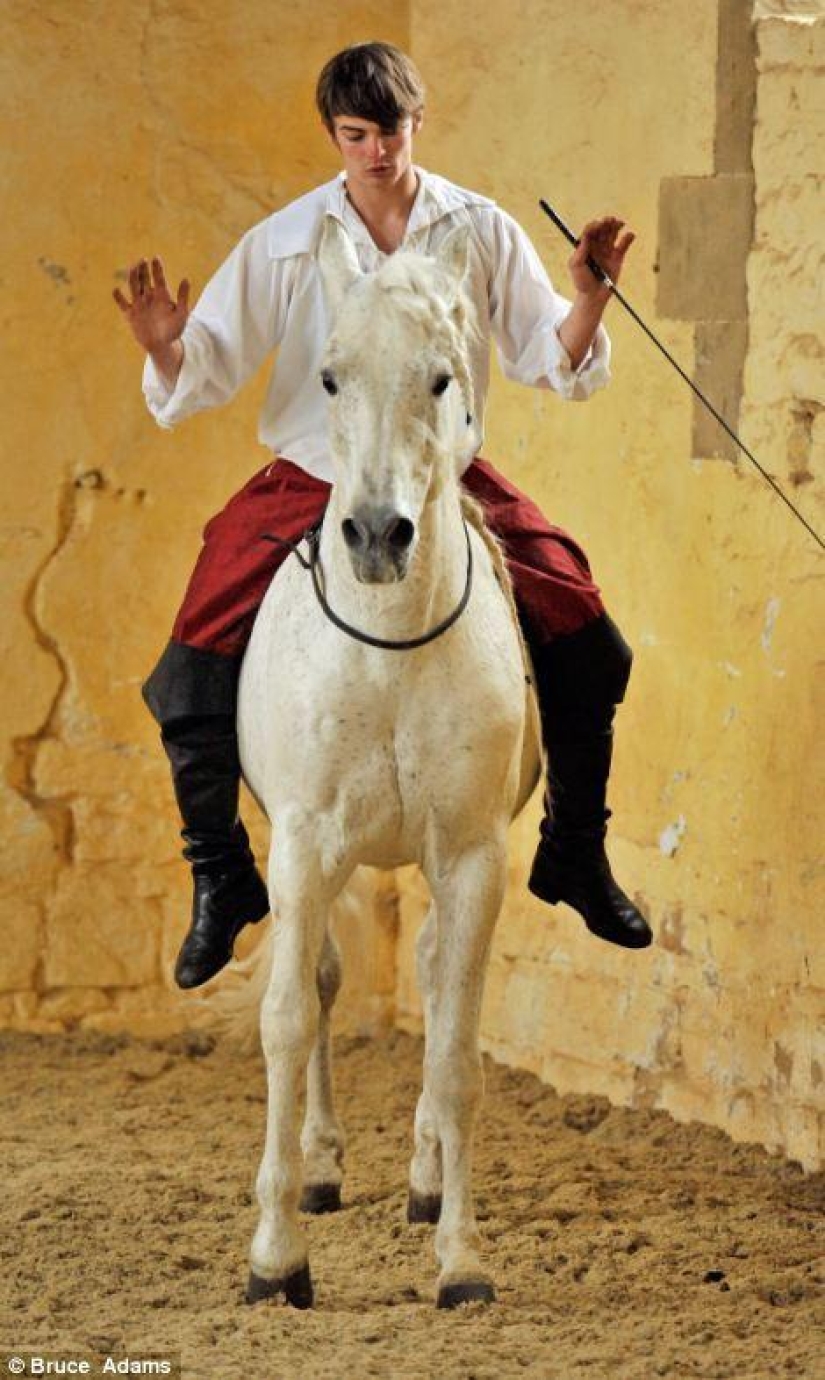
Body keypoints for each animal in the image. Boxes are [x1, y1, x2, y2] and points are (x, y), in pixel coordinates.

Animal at [235, 216, 541, 1310]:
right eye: (329, 376)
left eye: (442, 376)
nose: (374, 536)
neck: (392, 646)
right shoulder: (301, 846)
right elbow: (287, 1018)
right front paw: (276, 1254)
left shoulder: (472, 857)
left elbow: (452, 1048)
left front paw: (460, 1258)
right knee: (325, 982)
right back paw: (322, 1169)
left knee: (429, 975)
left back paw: (421, 1176)